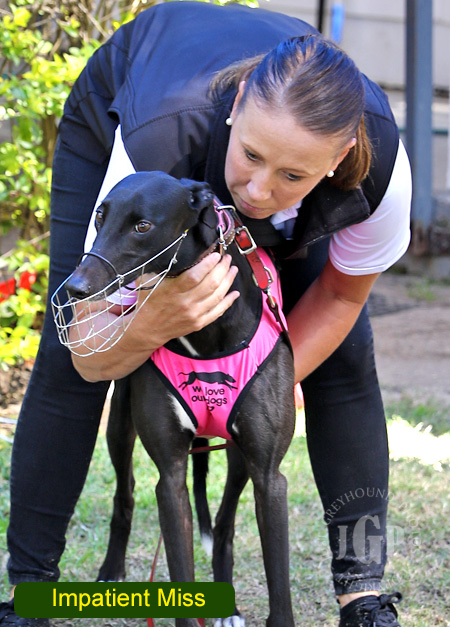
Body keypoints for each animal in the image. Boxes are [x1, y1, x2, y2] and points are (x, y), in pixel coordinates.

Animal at [63, 171, 296, 627]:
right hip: (119, 426)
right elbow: (177, 558)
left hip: (239, 456)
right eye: (100, 216)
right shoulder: (170, 475)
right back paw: (110, 571)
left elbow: (278, 579)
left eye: (142, 226)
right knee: (124, 496)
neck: (208, 337)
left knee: (224, 525)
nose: (75, 288)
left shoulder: (270, 476)